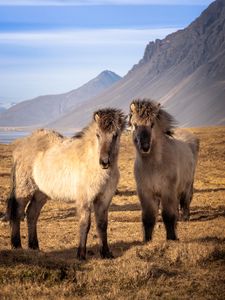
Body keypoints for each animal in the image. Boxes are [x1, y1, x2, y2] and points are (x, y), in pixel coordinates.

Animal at [6, 109, 126, 258]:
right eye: (98, 135)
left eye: (115, 135)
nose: (104, 162)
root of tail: (21, 145)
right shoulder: (85, 199)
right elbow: (85, 224)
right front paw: (81, 254)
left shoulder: (104, 199)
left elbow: (102, 225)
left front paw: (106, 253)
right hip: (24, 189)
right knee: (17, 212)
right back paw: (16, 245)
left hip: (41, 193)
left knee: (32, 214)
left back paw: (34, 246)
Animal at [129, 99, 200, 241]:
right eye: (135, 125)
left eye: (152, 125)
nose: (145, 147)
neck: (154, 166)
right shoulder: (145, 192)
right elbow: (148, 217)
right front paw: (147, 240)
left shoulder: (167, 190)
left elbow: (168, 215)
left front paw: (172, 238)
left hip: (187, 185)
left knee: (185, 200)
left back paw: (185, 217)